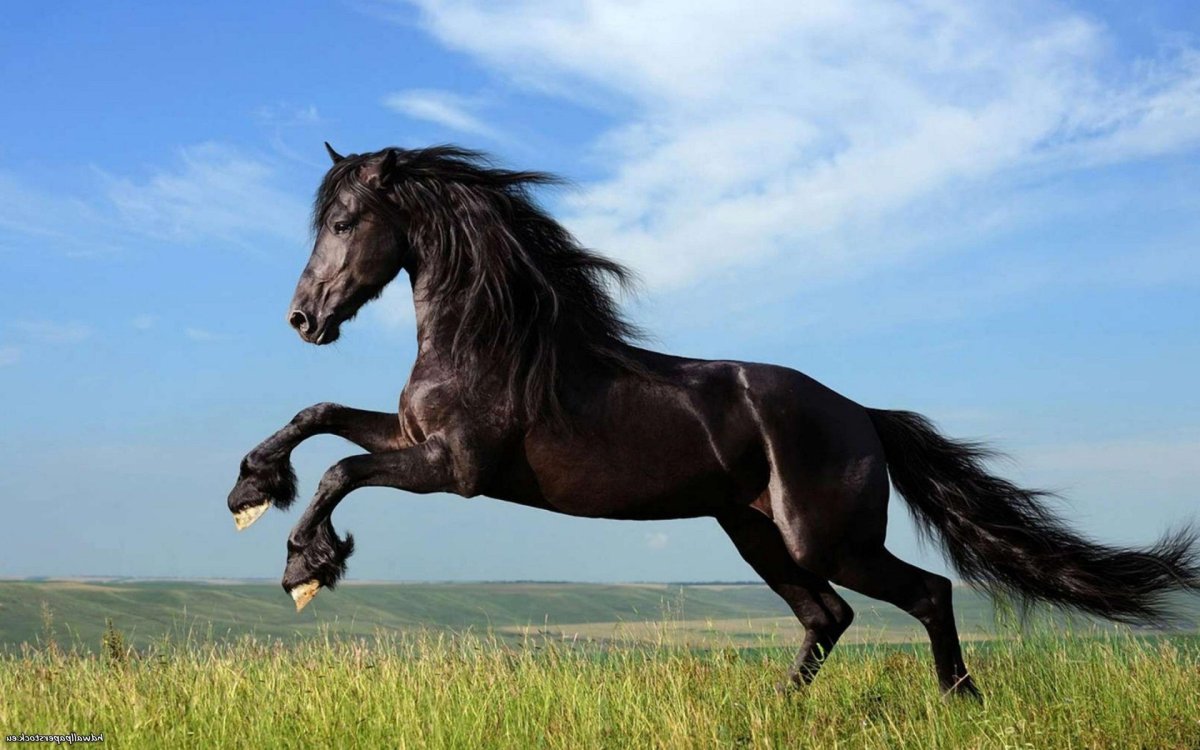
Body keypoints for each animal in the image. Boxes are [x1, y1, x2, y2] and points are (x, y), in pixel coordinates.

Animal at [228, 143, 1200, 698]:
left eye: (347, 219)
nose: (303, 319)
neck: (492, 341)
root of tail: (864, 416)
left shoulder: (454, 469)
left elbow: (341, 470)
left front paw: (305, 566)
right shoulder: (415, 440)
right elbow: (319, 416)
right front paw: (250, 490)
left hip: (824, 537)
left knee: (923, 593)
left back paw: (961, 701)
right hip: (755, 532)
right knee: (828, 618)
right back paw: (781, 711)